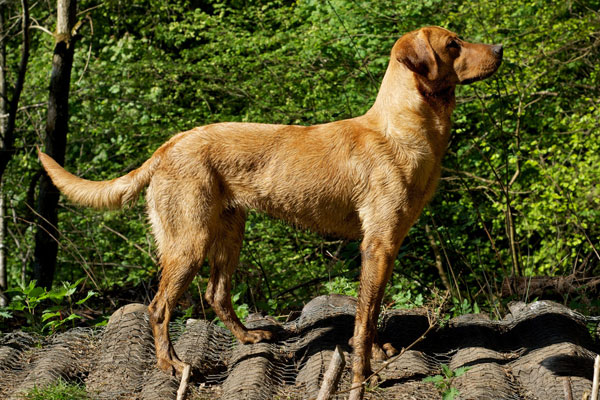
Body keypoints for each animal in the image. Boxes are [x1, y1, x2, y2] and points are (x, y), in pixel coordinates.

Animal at [38, 26, 502, 398]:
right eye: (453, 44)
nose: (500, 47)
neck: (402, 127)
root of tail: (167, 146)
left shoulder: (385, 246)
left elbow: (368, 311)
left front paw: (374, 352)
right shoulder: (379, 243)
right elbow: (366, 314)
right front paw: (363, 372)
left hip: (230, 232)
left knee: (216, 293)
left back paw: (247, 338)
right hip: (189, 242)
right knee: (159, 307)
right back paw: (172, 366)